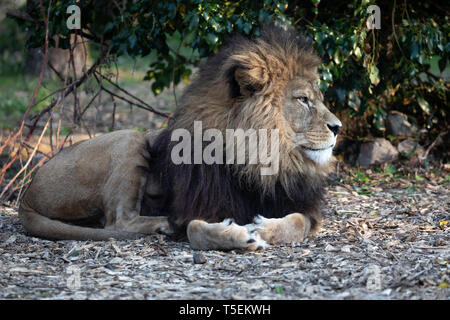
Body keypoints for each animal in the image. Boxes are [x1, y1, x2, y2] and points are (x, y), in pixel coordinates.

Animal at [18, 25, 342, 250]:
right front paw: (239, 235)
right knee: (117, 219)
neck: (260, 160)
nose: (338, 127)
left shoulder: (304, 208)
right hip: (130, 139)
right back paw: (164, 224)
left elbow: (296, 223)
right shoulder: (199, 206)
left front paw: (264, 228)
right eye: (303, 99)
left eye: (318, 97)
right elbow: (194, 230)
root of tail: (27, 192)